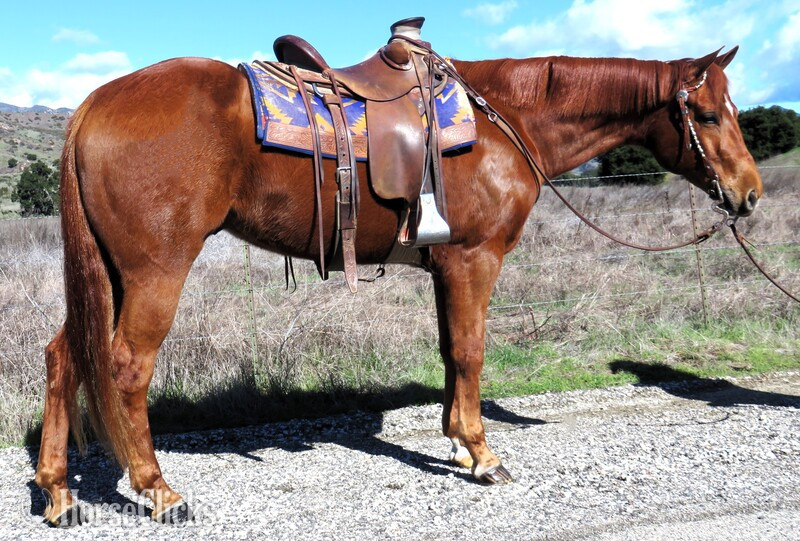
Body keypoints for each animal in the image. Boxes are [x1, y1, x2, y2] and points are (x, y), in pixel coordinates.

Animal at [34, 45, 762, 525]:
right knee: (127, 369)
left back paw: (59, 491)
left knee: (65, 356)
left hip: (108, 273)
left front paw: (459, 441)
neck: (507, 121)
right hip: (154, 271)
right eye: (708, 114)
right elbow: (471, 351)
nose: (749, 194)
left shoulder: (447, 267)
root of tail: (95, 102)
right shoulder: (474, 260)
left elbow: (450, 353)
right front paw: (482, 452)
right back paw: (158, 489)